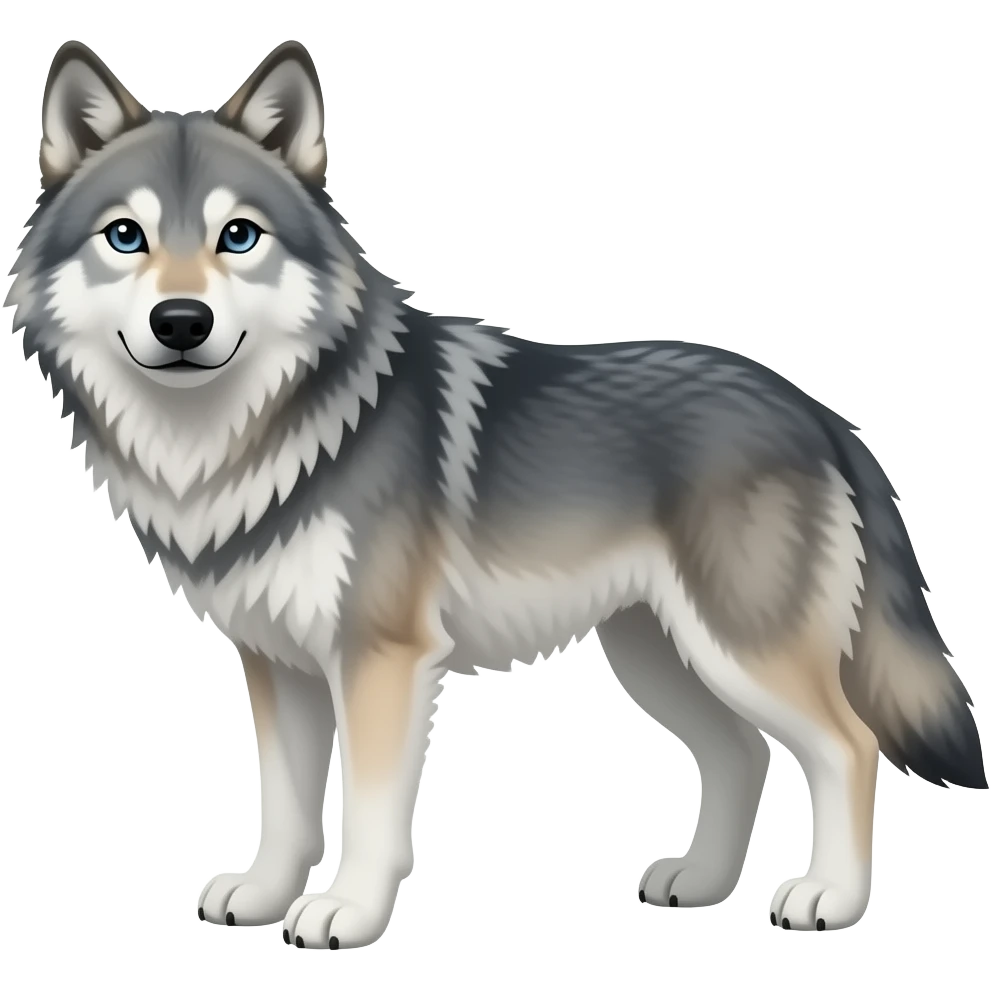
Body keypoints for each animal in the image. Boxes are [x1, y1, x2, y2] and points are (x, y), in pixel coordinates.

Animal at [5, 37, 986, 949]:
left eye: (238, 236)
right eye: (125, 236)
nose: (181, 321)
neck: (243, 438)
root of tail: (814, 409)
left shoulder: (381, 659)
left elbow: (366, 811)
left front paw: (348, 912)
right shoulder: (279, 663)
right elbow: (282, 804)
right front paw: (263, 894)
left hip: (738, 648)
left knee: (847, 745)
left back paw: (830, 899)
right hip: (658, 654)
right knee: (742, 754)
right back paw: (699, 882)